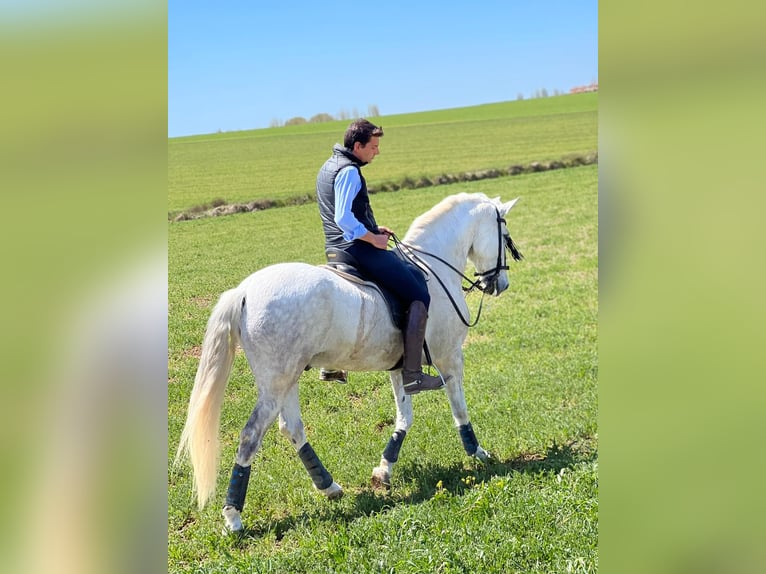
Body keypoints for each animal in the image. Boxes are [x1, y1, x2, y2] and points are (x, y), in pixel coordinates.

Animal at [176, 192, 522, 532]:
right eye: (504, 235)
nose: (500, 284)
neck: (434, 266)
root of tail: (244, 291)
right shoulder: (450, 357)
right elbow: (459, 408)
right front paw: (477, 452)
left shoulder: (400, 368)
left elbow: (404, 417)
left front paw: (384, 470)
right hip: (276, 383)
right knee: (251, 435)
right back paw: (233, 516)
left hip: (287, 379)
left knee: (292, 428)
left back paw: (329, 487)